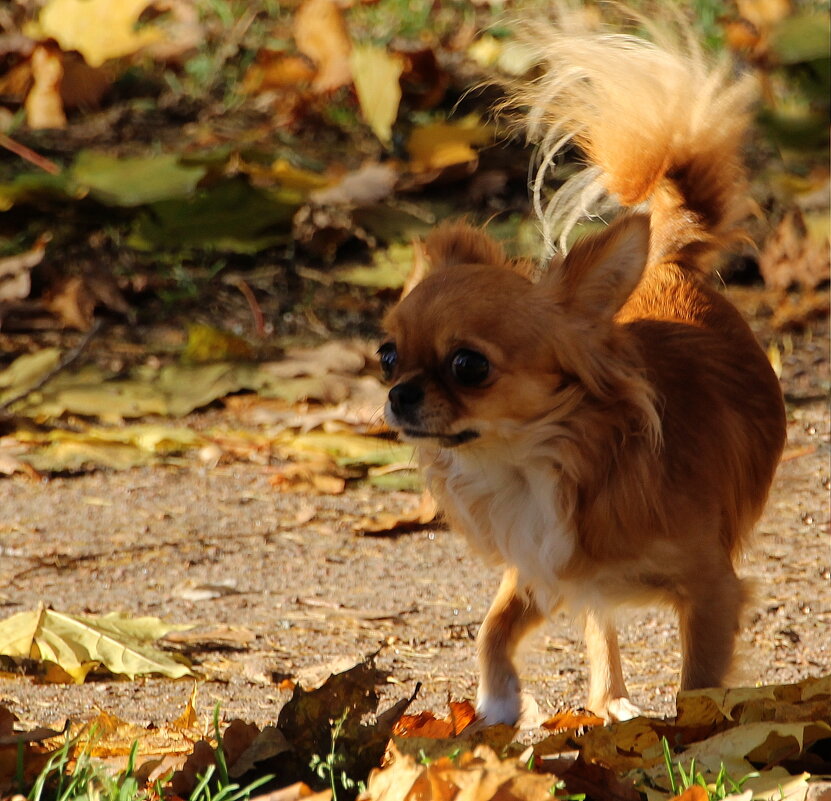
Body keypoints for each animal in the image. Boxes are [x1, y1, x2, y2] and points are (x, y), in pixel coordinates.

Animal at [380, 9, 784, 720]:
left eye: (469, 365)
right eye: (388, 354)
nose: (399, 393)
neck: (532, 463)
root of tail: (667, 259)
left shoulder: (713, 589)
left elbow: (697, 687)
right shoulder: (543, 567)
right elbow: (492, 630)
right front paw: (497, 706)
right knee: (601, 627)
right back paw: (610, 703)